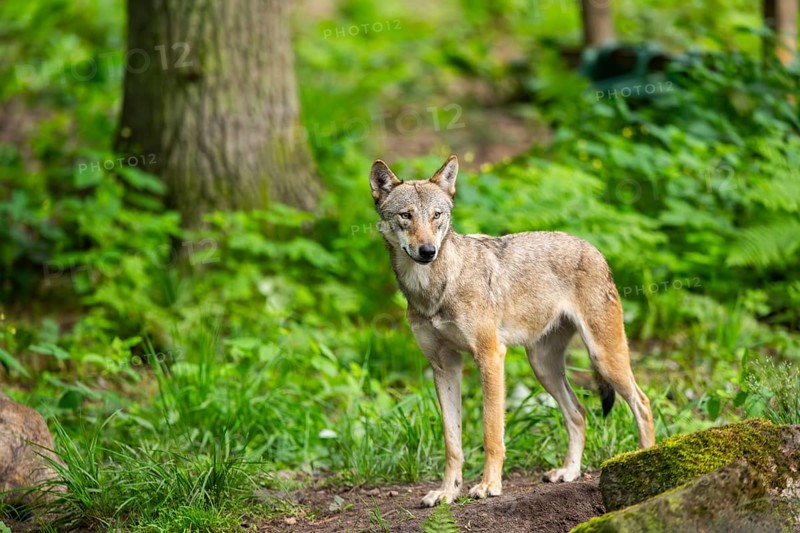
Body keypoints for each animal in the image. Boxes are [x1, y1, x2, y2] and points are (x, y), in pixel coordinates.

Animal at [369, 155, 655, 507]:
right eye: (406, 216)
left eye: (436, 215)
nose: (427, 251)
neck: (434, 289)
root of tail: (591, 247)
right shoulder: (444, 365)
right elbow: (452, 443)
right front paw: (447, 492)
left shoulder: (490, 356)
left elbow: (492, 433)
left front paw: (488, 486)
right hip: (543, 367)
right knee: (578, 413)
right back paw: (569, 472)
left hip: (603, 358)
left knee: (642, 403)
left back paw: (642, 461)